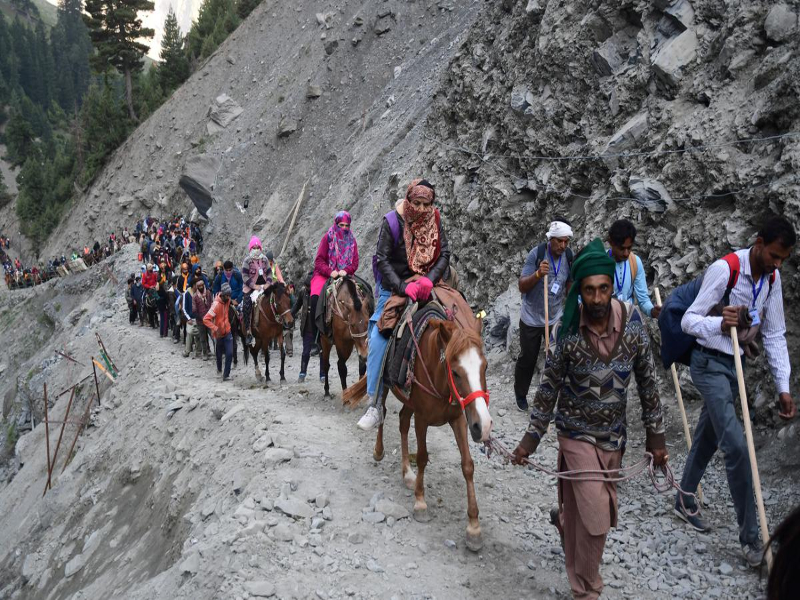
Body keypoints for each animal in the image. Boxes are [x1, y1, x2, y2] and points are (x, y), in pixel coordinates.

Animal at [344, 316, 494, 552]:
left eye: (485, 367)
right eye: (456, 372)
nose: (484, 426)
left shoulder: (459, 419)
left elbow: (468, 465)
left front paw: (474, 528)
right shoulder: (422, 419)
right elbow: (423, 457)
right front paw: (421, 503)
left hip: (409, 403)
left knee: (403, 422)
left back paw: (407, 474)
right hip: (385, 386)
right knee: (382, 411)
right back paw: (379, 450)